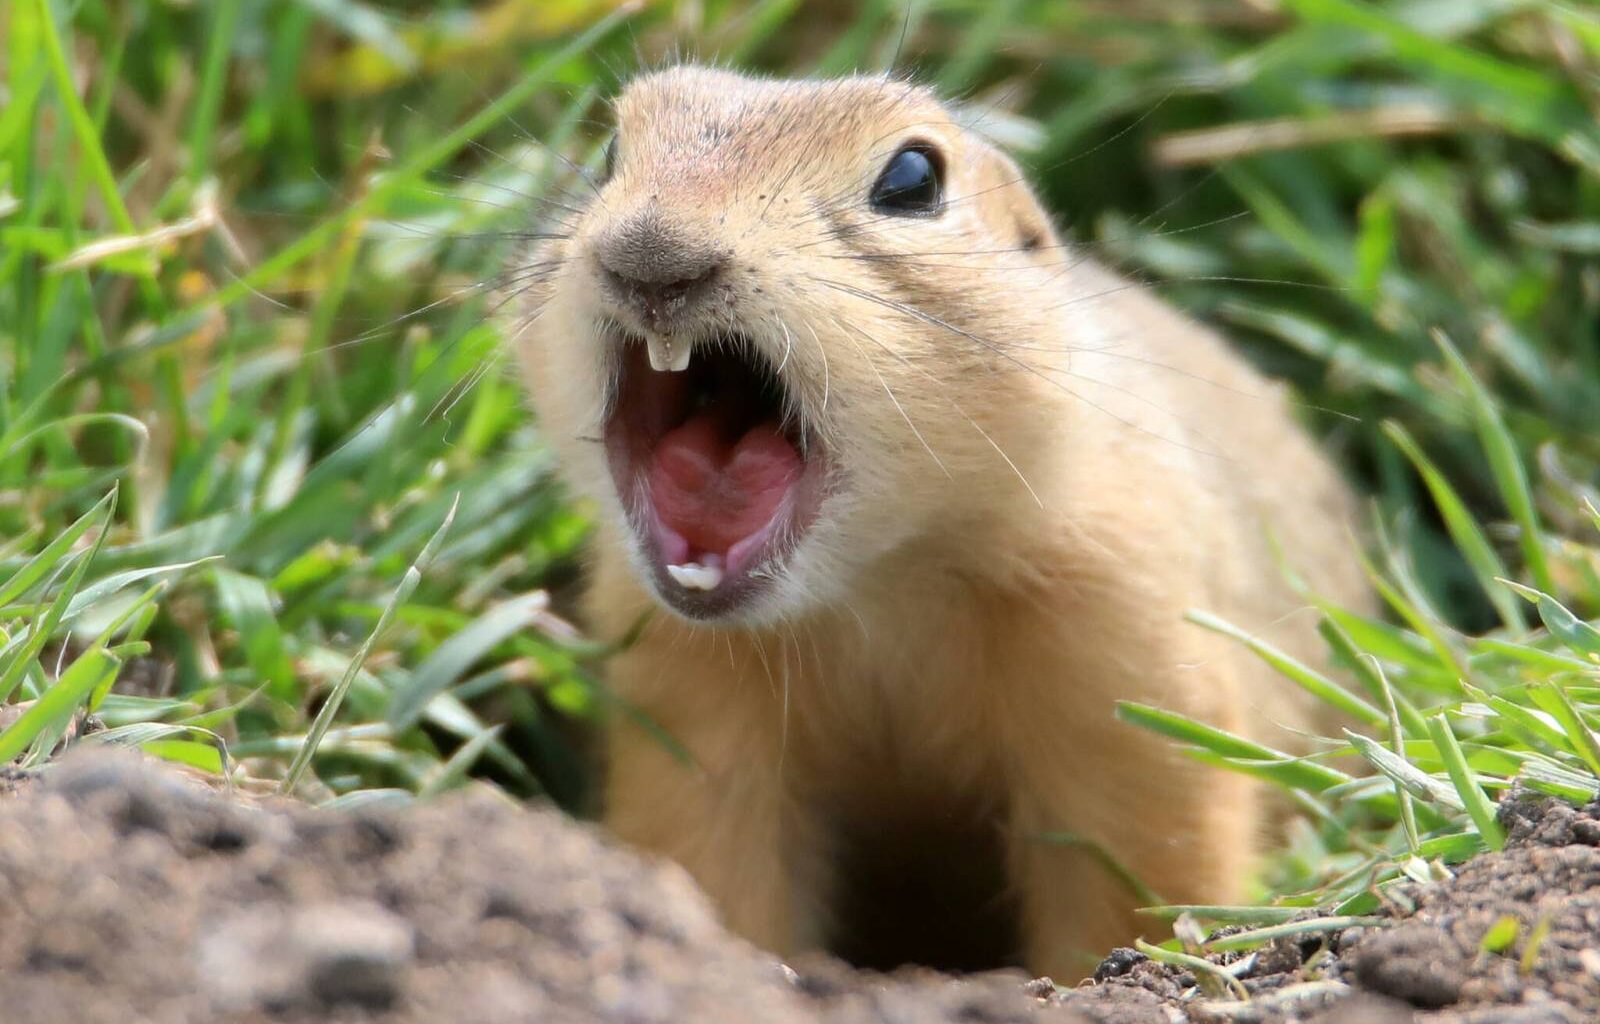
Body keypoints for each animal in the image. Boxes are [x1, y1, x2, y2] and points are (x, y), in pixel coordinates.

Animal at [512, 66, 1368, 978]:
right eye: (609, 152)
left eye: (913, 178)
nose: (651, 255)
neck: (885, 580)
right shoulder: (690, 707)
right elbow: (713, 857)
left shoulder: (1127, 649)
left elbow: (1139, 862)